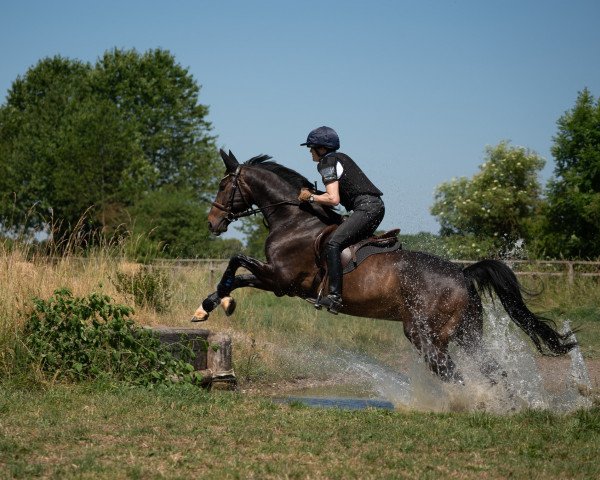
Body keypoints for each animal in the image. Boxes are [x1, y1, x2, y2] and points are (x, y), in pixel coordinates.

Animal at [193, 150, 576, 382]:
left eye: (224, 185)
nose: (211, 222)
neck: (294, 219)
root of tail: (462, 274)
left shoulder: (282, 279)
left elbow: (236, 262)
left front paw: (214, 304)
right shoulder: (278, 282)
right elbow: (239, 275)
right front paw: (213, 305)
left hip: (426, 335)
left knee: (451, 372)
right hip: (468, 333)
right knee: (492, 370)